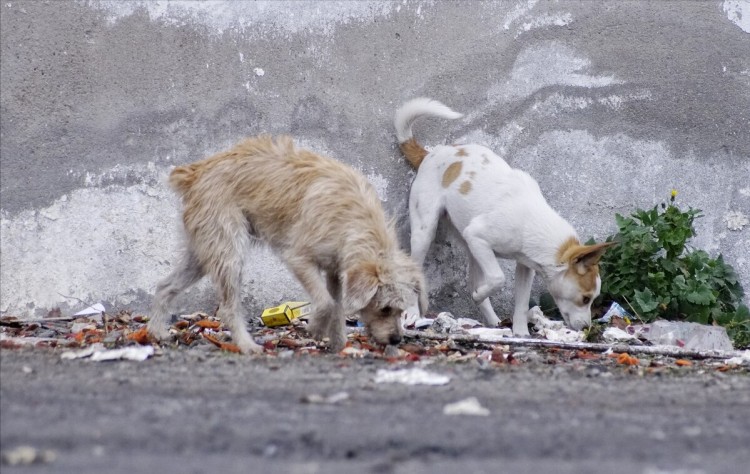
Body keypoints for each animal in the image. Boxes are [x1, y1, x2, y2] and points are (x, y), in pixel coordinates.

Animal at [150, 135, 428, 354]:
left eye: (401, 311)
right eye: (385, 309)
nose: (396, 339)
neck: (355, 219)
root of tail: (196, 172)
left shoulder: (336, 271)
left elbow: (337, 307)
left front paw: (339, 344)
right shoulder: (298, 258)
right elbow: (325, 303)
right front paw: (316, 329)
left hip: (201, 254)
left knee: (164, 287)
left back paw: (156, 332)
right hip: (228, 253)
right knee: (228, 308)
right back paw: (247, 345)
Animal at [396, 98, 612, 336]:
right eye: (585, 299)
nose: (587, 329)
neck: (533, 222)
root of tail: (430, 154)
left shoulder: (525, 267)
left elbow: (521, 302)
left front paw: (521, 333)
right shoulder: (478, 237)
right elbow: (498, 279)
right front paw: (483, 296)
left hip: (470, 248)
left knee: (474, 282)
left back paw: (493, 322)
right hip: (425, 233)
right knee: (414, 275)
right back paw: (413, 314)